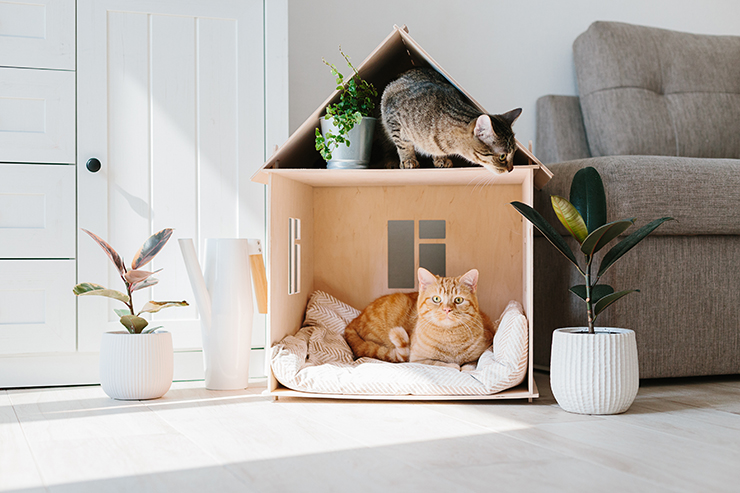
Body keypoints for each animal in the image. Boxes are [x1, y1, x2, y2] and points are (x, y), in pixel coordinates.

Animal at [344, 268, 494, 368]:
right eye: (436, 299)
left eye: (458, 300)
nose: (447, 309)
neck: (450, 338)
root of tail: (355, 319)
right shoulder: (417, 359)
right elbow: (441, 363)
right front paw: (453, 365)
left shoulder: (482, 351)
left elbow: (471, 364)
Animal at [382, 67, 520, 171]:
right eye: (502, 156)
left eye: (514, 153)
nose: (511, 169)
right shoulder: (393, 117)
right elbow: (403, 144)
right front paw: (408, 159)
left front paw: (441, 159)